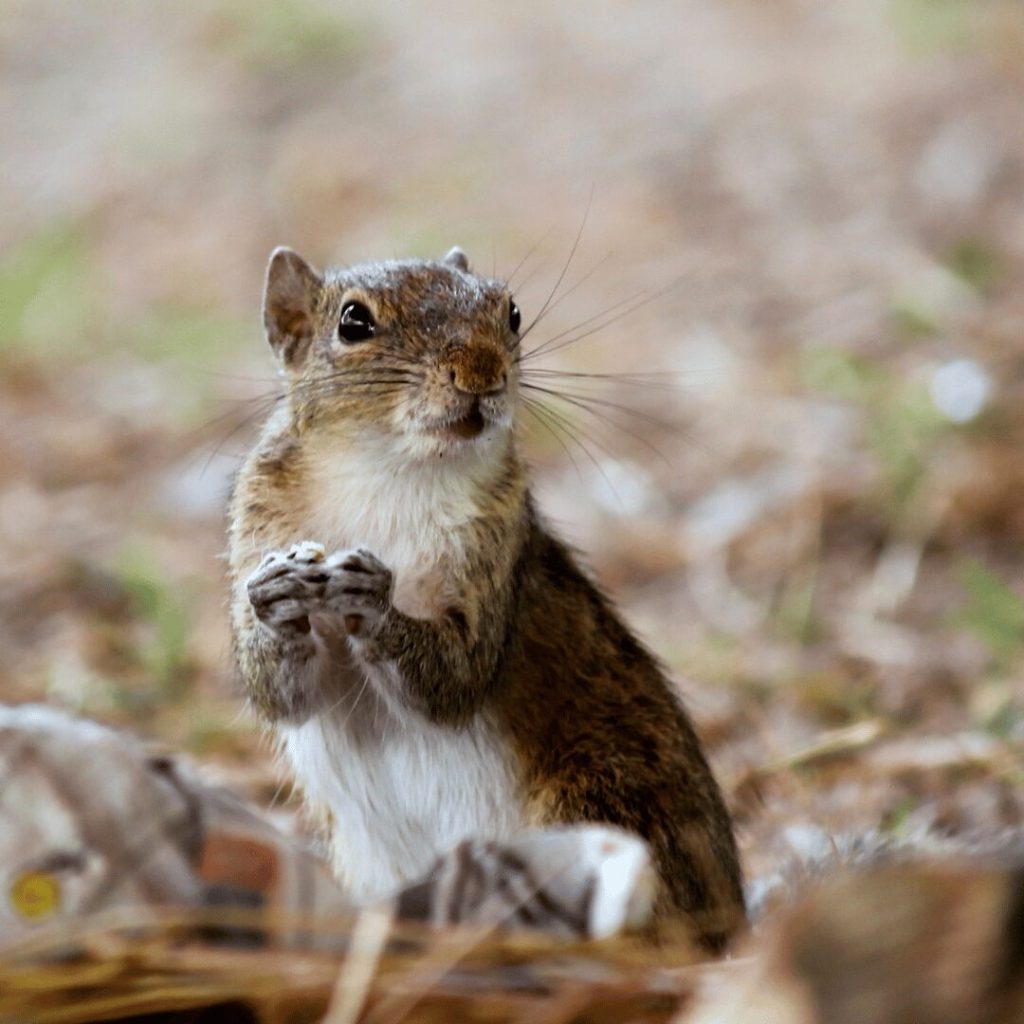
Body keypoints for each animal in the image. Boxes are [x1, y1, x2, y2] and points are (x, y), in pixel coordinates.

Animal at [227, 245, 746, 949]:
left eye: (512, 311)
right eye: (353, 323)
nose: (480, 372)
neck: (391, 471)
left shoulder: (499, 553)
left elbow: (457, 676)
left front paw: (376, 603)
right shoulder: (257, 526)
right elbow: (280, 694)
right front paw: (276, 599)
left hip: (601, 799)